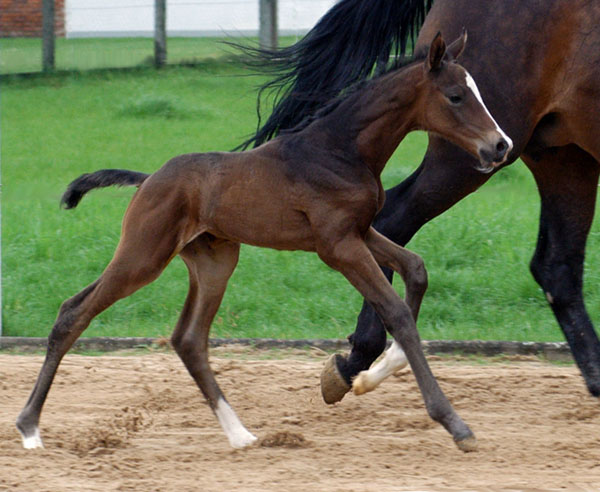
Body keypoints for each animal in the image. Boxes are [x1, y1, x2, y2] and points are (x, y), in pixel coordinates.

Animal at [241, 0, 600, 402]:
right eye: (456, 96)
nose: (500, 144)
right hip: (473, 159)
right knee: (396, 217)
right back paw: (358, 360)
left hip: (566, 156)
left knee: (557, 265)